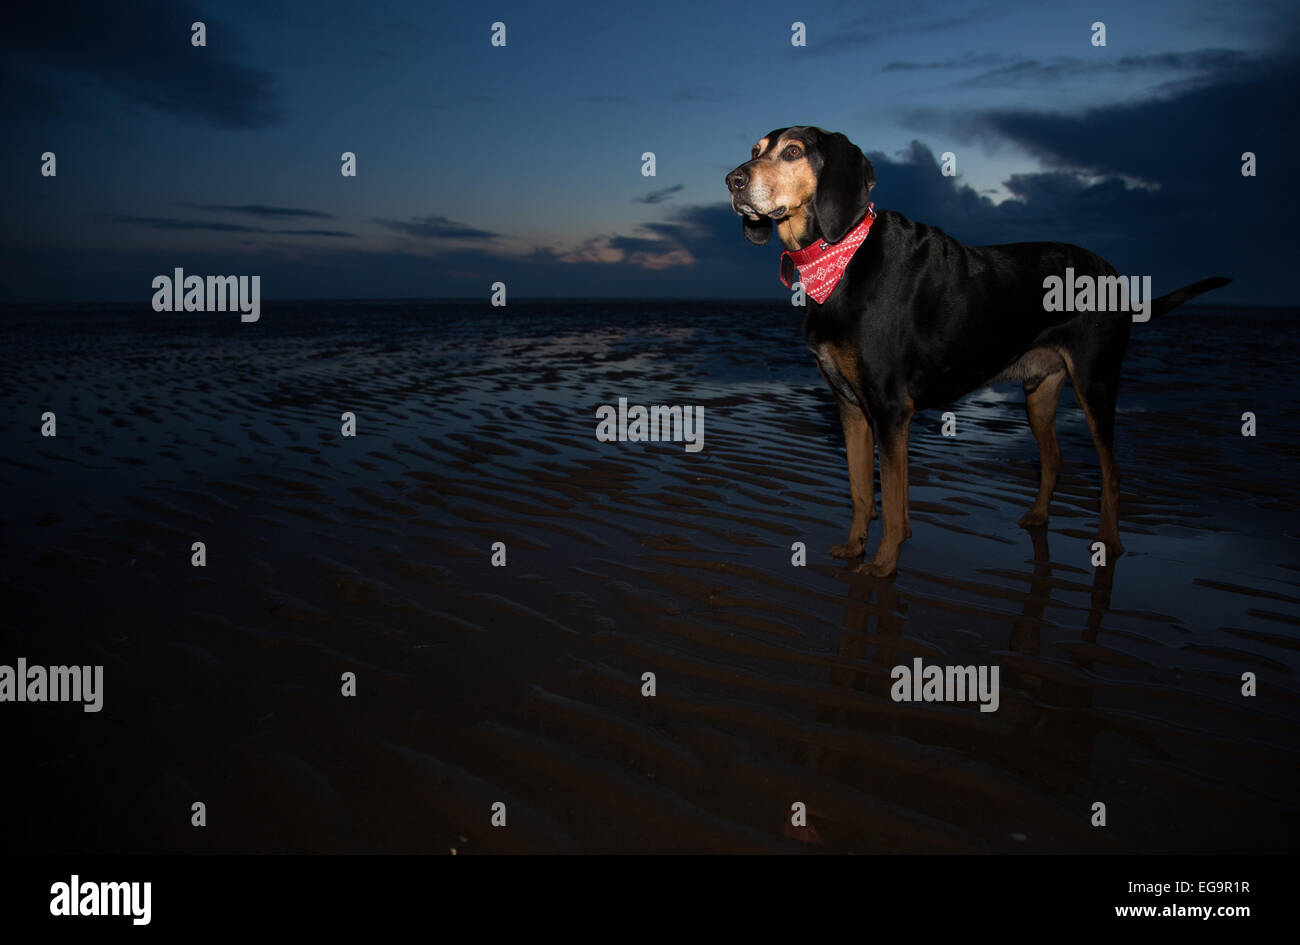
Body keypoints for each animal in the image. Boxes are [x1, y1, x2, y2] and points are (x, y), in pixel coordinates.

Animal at [728, 125, 1232, 577]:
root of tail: (1114, 276)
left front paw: (884, 563)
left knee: (1111, 471)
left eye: (793, 151)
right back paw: (1039, 517)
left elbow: (891, 503)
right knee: (1054, 457)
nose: (733, 180)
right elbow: (861, 491)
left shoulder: (890, 410)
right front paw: (855, 546)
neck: (837, 259)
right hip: (1040, 391)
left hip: (1097, 382)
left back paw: (1109, 540)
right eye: (754, 150)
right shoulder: (850, 406)